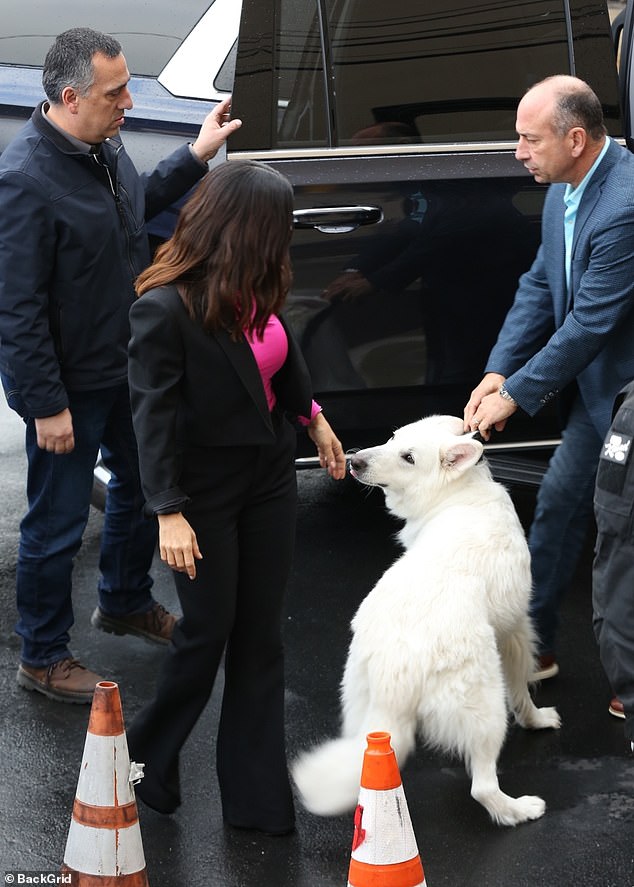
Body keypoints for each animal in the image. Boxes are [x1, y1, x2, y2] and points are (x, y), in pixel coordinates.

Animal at [292, 414, 556, 824]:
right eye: (392, 438)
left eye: (408, 456)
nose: (354, 462)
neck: (461, 491)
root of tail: (392, 674)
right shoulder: (515, 629)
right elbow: (523, 689)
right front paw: (538, 719)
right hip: (486, 704)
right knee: (482, 786)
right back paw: (519, 809)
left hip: (359, 704)